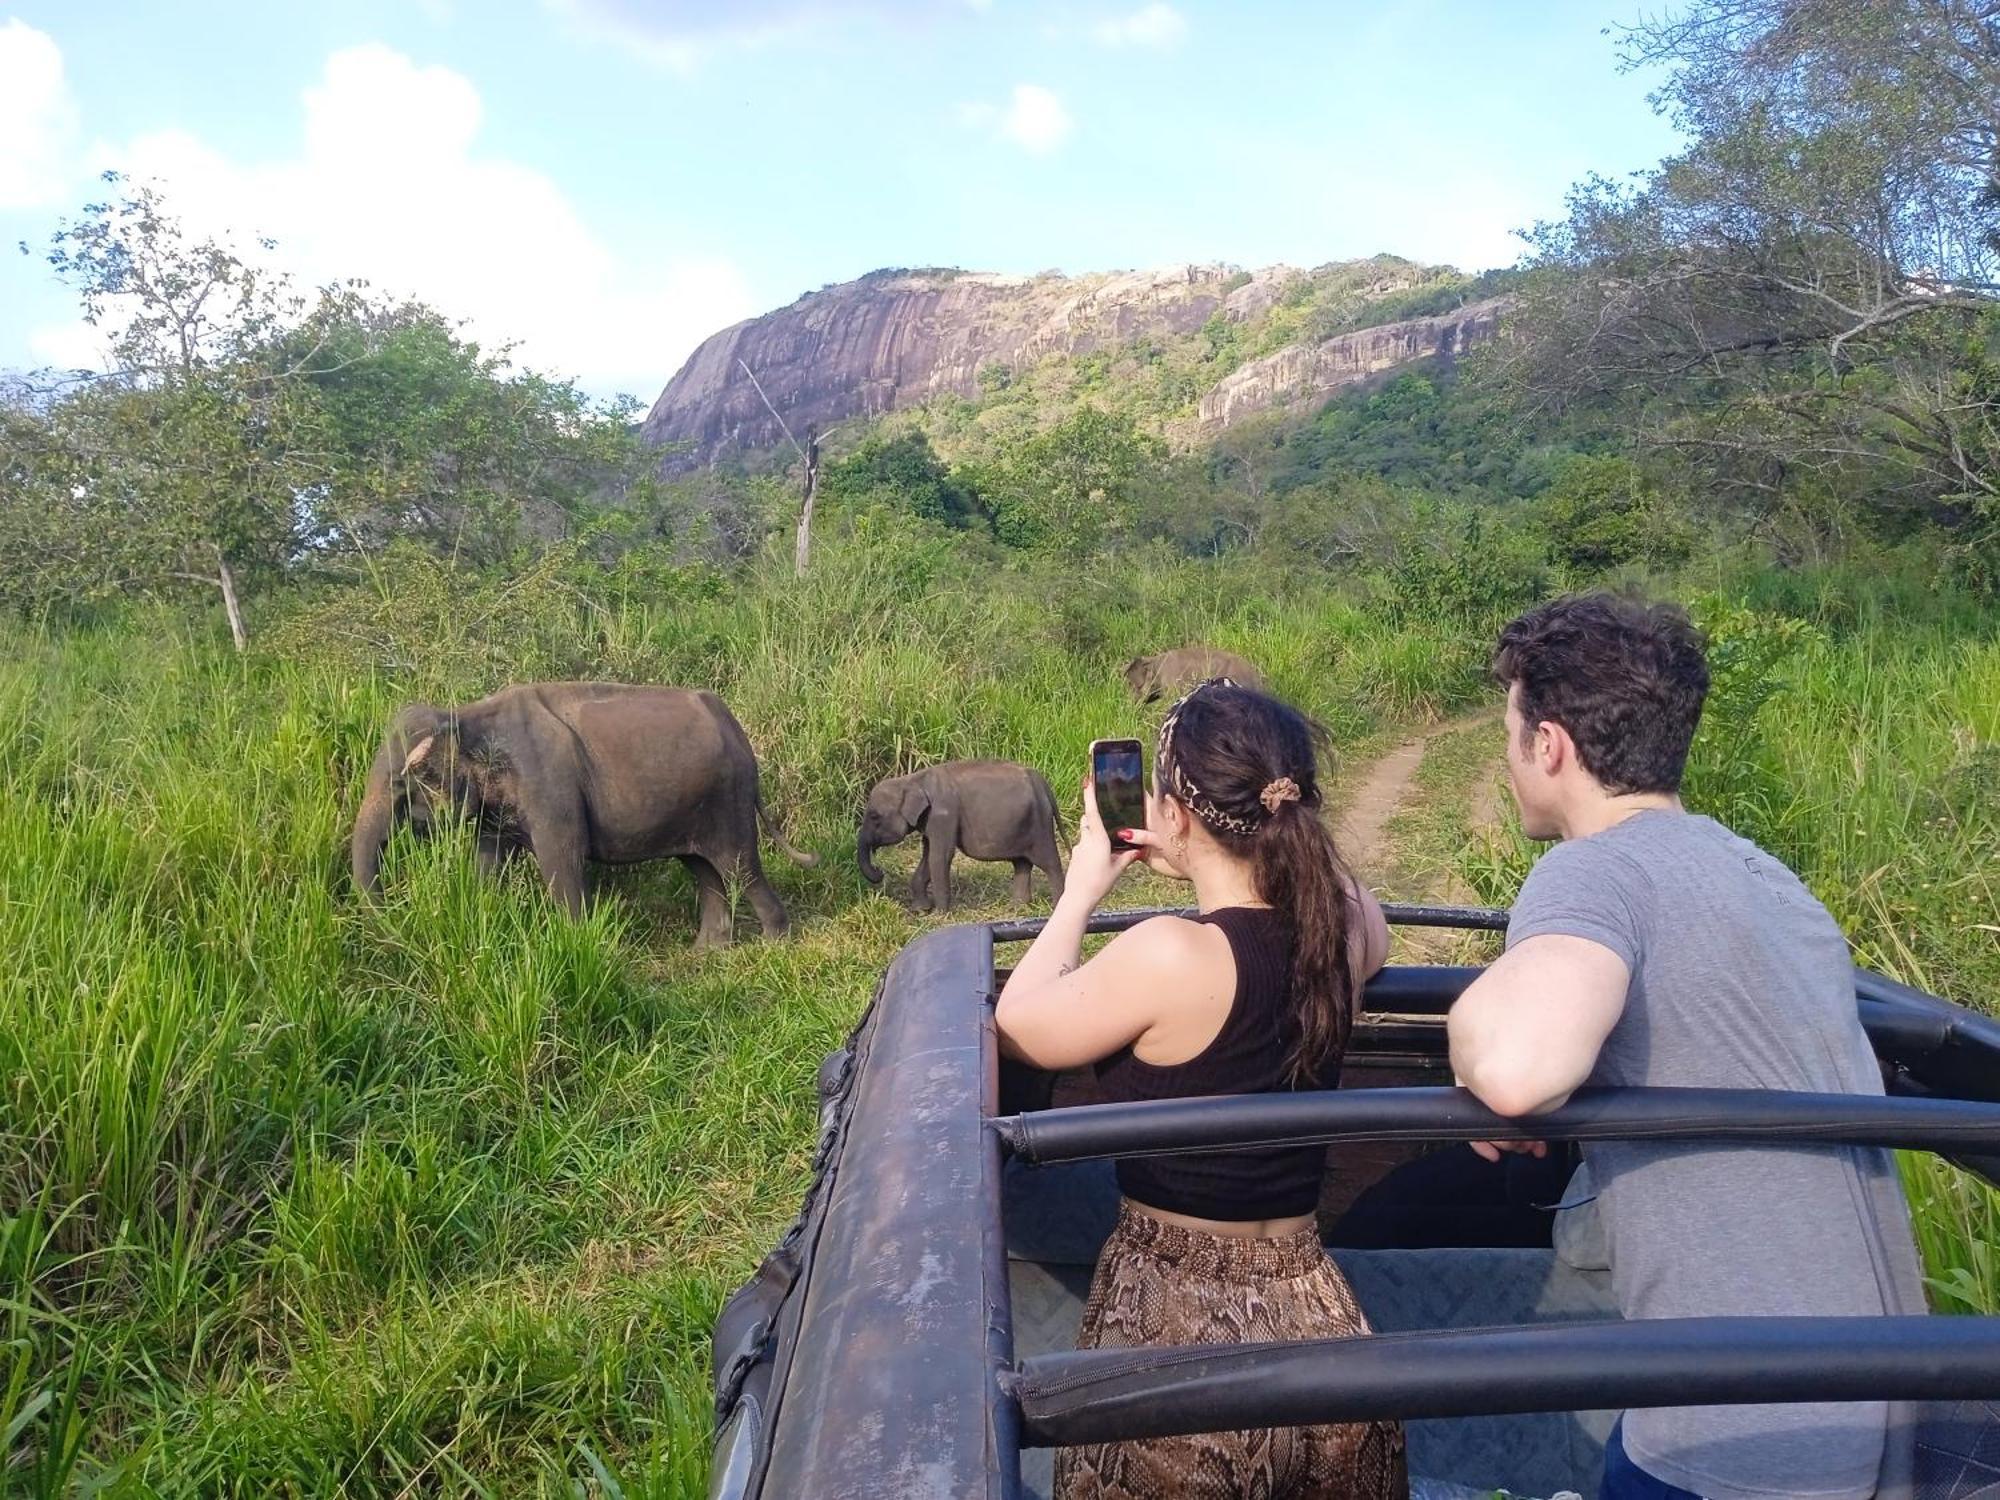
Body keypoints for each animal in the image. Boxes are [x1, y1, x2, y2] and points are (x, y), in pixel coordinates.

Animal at [348, 684, 816, 944]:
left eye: (403, 784)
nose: (396, 927)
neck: (465, 714)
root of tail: (733, 724)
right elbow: (489, 862)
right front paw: (483, 912)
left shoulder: (550, 790)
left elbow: (562, 861)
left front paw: (578, 944)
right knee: (703, 869)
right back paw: (708, 951)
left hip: (728, 798)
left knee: (739, 866)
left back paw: (776, 943)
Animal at [856, 764, 1064, 916]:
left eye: (874, 816)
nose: (879, 871)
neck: (912, 779)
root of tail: (1041, 782)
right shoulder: (930, 821)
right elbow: (928, 856)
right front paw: (920, 910)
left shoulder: (943, 817)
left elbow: (940, 857)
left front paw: (939, 915)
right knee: (1021, 863)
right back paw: (1017, 908)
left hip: (1040, 824)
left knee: (1049, 862)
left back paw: (1056, 906)